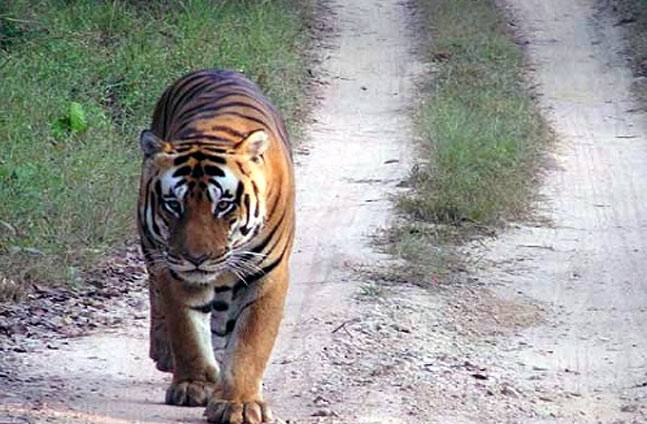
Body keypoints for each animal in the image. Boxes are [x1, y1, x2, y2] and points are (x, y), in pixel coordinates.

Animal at [140, 68, 298, 422]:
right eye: (173, 204)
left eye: (223, 205)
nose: (196, 258)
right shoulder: (177, 272)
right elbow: (186, 329)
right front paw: (193, 385)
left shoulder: (266, 275)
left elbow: (250, 342)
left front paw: (239, 403)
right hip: (152, 249)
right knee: (156, 293)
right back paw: (165, 353)